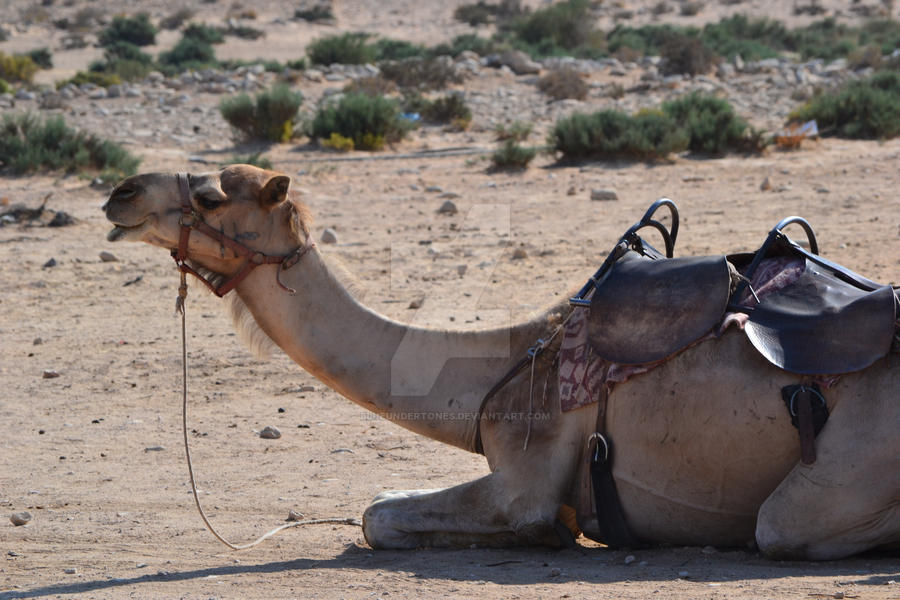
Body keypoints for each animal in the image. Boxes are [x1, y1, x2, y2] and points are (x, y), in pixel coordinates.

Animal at [103, 164, 900, 560]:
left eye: (210, 195)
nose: (120, 191)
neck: (506, 359)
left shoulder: (527, 472)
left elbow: (380, 515)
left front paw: (556, 532)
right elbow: (380, 509)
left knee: (784, 524)